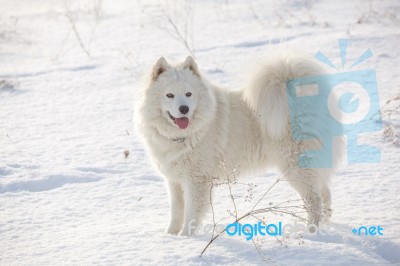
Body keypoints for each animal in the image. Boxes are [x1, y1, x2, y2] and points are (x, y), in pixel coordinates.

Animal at [136, 53, 342, 235]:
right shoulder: (175, 181)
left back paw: (310, 233)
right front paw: (170, 236)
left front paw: (186, 239)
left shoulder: (197, 180)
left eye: (188, 94)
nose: (184, 109)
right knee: (325, 192)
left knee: (314, 200)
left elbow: (191, 215)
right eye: (169, 95)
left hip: (295, 167)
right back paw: (325, 226)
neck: (186, 135)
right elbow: (177, 212)